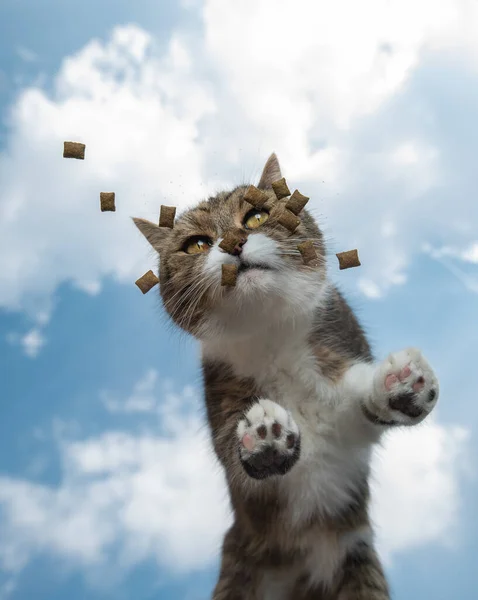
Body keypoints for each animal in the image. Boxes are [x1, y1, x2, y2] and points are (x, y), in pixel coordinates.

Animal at [133, 156, 438, 600]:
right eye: (197, 244)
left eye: (256, 216)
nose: (232, 243)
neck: (272, 337)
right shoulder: (224, 406)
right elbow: (240, 461)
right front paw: (263, 434)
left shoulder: (339, 373)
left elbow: (361, 404)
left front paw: (402, 383)